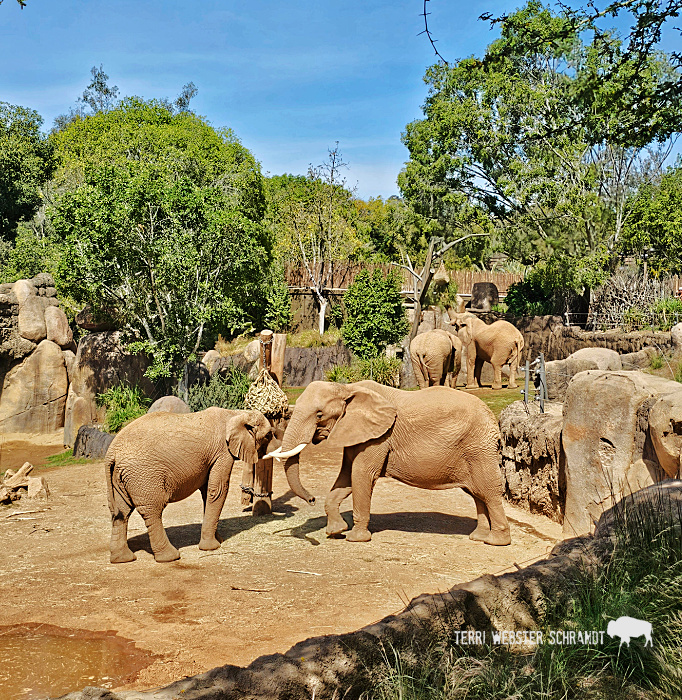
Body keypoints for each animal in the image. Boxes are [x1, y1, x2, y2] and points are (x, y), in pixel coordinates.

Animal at [105, 407, 273, 563]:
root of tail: (111, 453)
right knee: (153, 510)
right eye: (268, 435)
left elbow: (207, 492)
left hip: (120, 477)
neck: (236, 413)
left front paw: (218, 540)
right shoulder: (223, 452)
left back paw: (122, 559)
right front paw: (212, 547)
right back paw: (171, 557)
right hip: (143, 475)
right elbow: (218, 490)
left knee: (121, 511)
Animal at [267, 380, 511, 546]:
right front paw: (336, 532)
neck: (346, 388)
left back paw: (496, 542)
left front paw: (355, 538)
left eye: (319, 415)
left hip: (479, 448)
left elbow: (361, 475)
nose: (311, 499)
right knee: (477, 493)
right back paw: (478, 537)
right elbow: (345, 478)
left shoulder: (379, 437)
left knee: (488, 491)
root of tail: (494, 420)